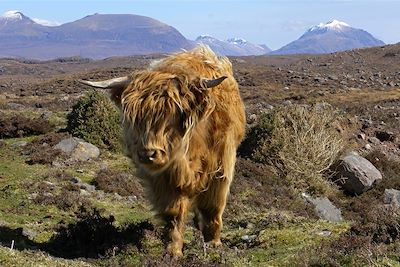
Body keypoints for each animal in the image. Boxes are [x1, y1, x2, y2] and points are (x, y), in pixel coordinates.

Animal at [79, 45, 245, 258]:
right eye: (136, 118)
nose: (148, 154)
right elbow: (173, 213)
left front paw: (214, 243)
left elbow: (213, 206)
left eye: (173, 115)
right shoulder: (163, 178)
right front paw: (173, 251)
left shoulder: (221, 167)